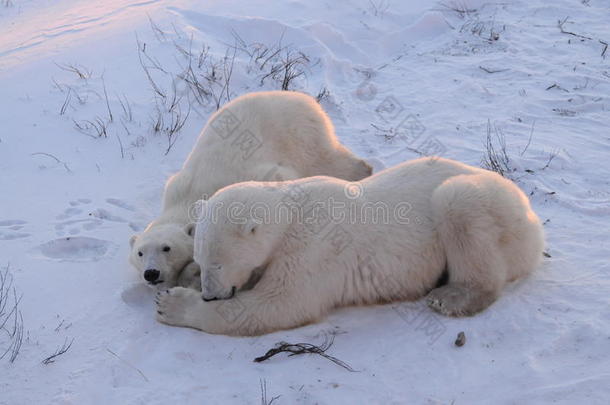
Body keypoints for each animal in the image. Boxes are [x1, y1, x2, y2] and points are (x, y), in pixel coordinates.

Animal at [128, 90, 370, 288]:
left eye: (167, 248)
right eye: (140, 253)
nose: (151, 273)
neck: (187, 197)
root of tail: (303, 99)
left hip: (299, 137)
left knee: (331, 162)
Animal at [156, 156, 540, 336]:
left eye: (218, 263)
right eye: (202, 259)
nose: (211, 295)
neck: (291, 212)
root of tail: (531, 213)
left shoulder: (314, 246)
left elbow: (281, 302)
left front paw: (172, 304)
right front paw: (185, 280)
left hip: (496, 210)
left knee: (458, 202)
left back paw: (453, 295)